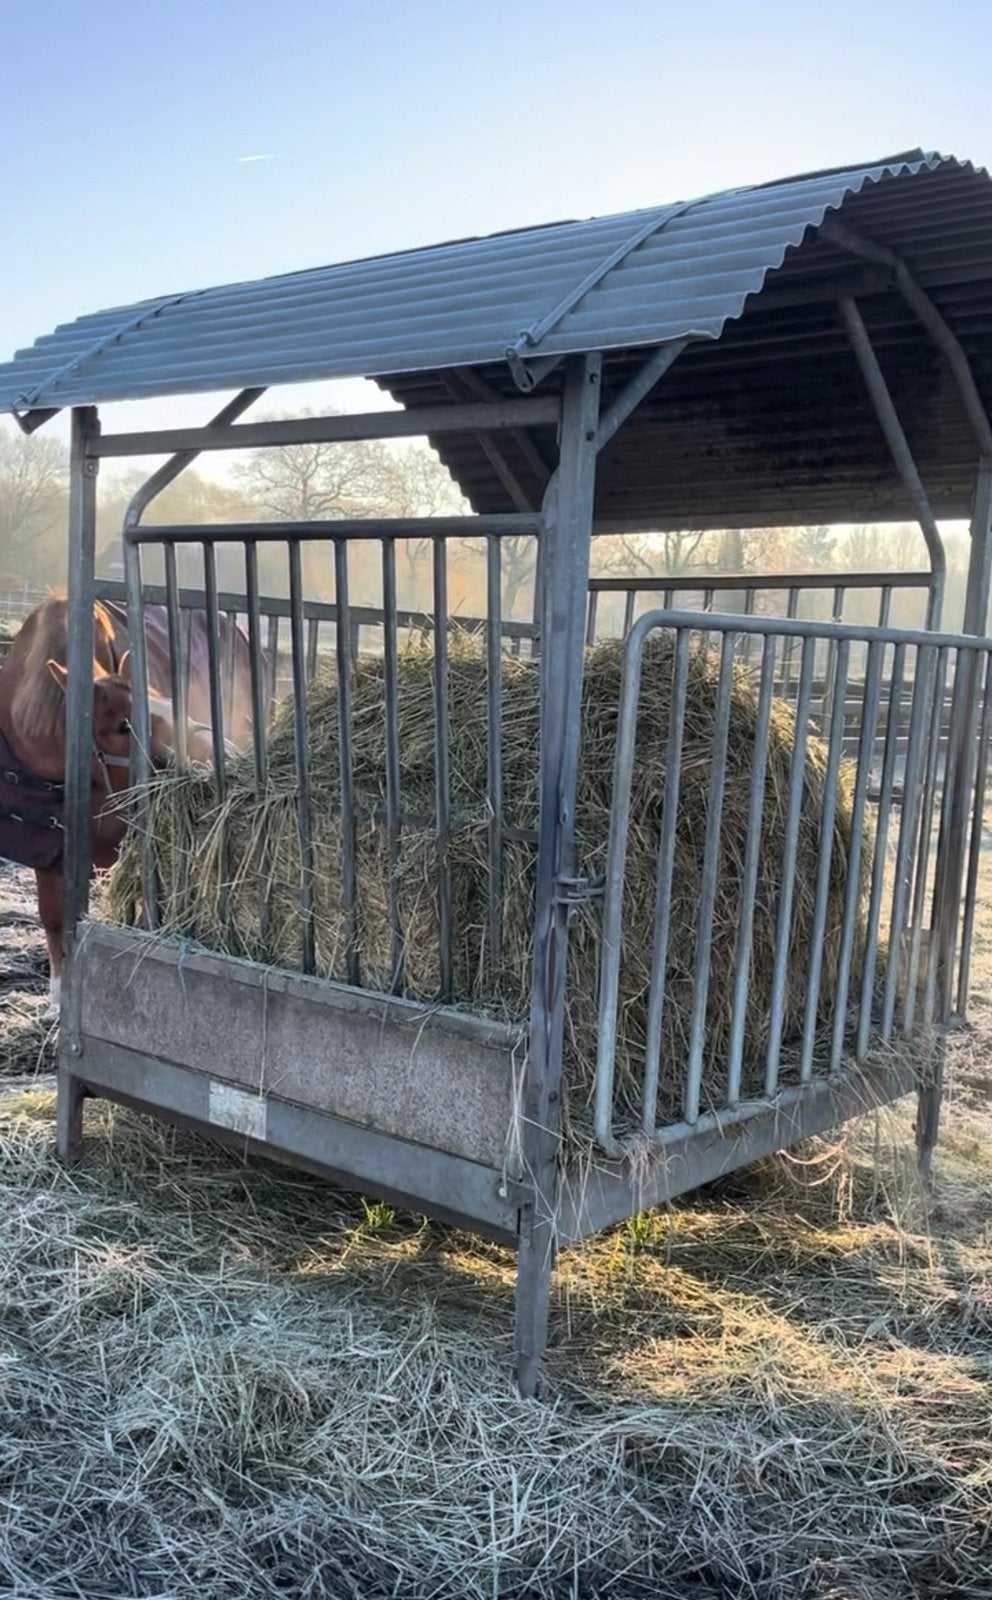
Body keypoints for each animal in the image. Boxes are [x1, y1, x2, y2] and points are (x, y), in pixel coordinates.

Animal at [0, 593, 256, 1012]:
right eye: (124, 725)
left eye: (162, 700)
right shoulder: (49, 845)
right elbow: (53, 915)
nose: (222, 755)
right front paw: (59, 997)